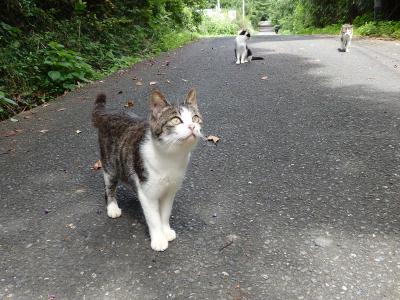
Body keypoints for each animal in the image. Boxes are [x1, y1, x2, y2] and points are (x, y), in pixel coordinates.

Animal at [92, 89, 202, 251]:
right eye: (176, 120)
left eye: (195, 118)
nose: (192, 127)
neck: (170, 157)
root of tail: (110, 112)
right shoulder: (148, 192)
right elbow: (153, 218)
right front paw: (159, 240)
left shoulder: (170, 191)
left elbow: (165, 213)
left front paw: (166, 231)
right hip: (109, 165)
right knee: (109, 188)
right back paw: (112, 207)